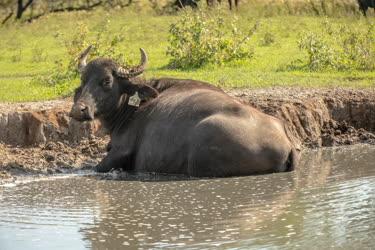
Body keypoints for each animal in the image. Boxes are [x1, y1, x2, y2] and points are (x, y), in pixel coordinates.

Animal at [70, 46, 300, 177]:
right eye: (83, 80)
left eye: (107, 81)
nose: (78, 110)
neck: (131, 110)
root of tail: (287, 144)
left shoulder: (119, 153)